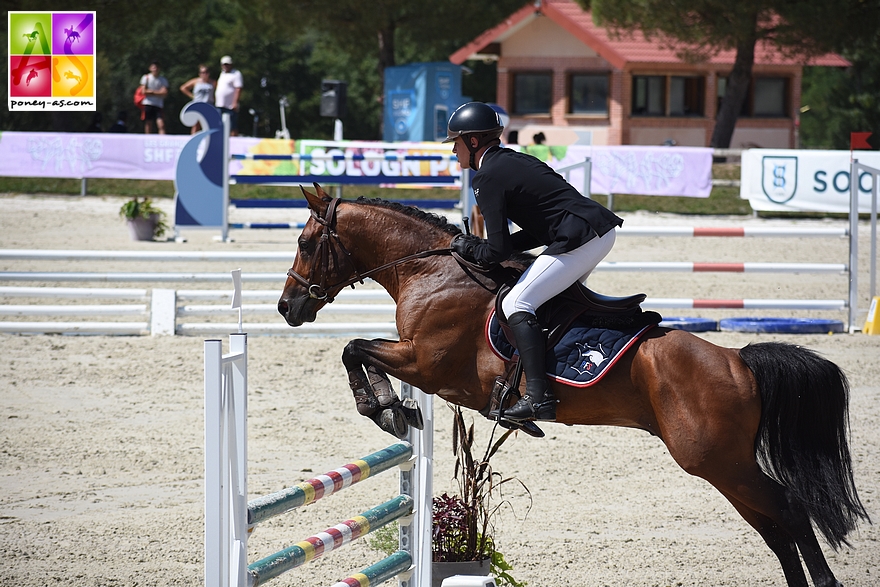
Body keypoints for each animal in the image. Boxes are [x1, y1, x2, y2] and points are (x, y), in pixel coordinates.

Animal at [278, 185, 868, 587]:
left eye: (306, 242)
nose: (288, 308)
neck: (432, 271)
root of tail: (736, 359)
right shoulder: (422, 365)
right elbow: (355, 348)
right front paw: (391, 408)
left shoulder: (428, 365)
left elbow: (354, 347)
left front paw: (383, 408)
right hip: (723, 464)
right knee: (774, 528)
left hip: (715, 459)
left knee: (789, 510)